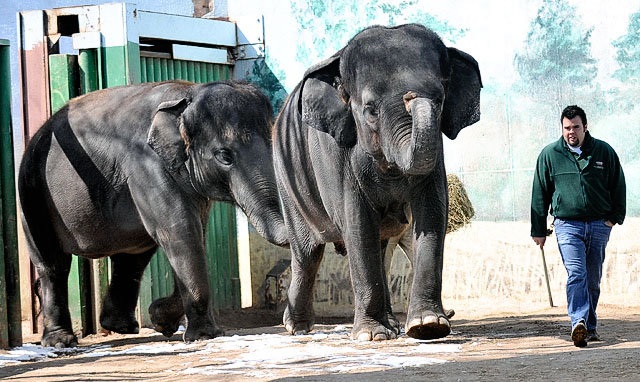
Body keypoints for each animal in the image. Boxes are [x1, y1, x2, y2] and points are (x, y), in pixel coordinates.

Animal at [18, 79, 288, 348]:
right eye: (224, 156)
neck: (188, 94)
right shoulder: (146, 165)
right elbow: (180, 232)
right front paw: (203, 335)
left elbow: (193, 236)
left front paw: (161, 319)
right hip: (32, 191)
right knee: (52, 264)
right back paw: (61, 342)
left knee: (132, 258)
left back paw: (122, 327)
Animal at [272, 23, 480, 340]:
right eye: (370, 109)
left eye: (441, 99)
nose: (412, 96)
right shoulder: (339, 157)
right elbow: (358, 224)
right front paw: (371, 335)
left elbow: (432, 215)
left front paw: (427, 327)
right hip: (287, 179)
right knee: (307, 254)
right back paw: (297, 327)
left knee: (380, 248)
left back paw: (392, 325)